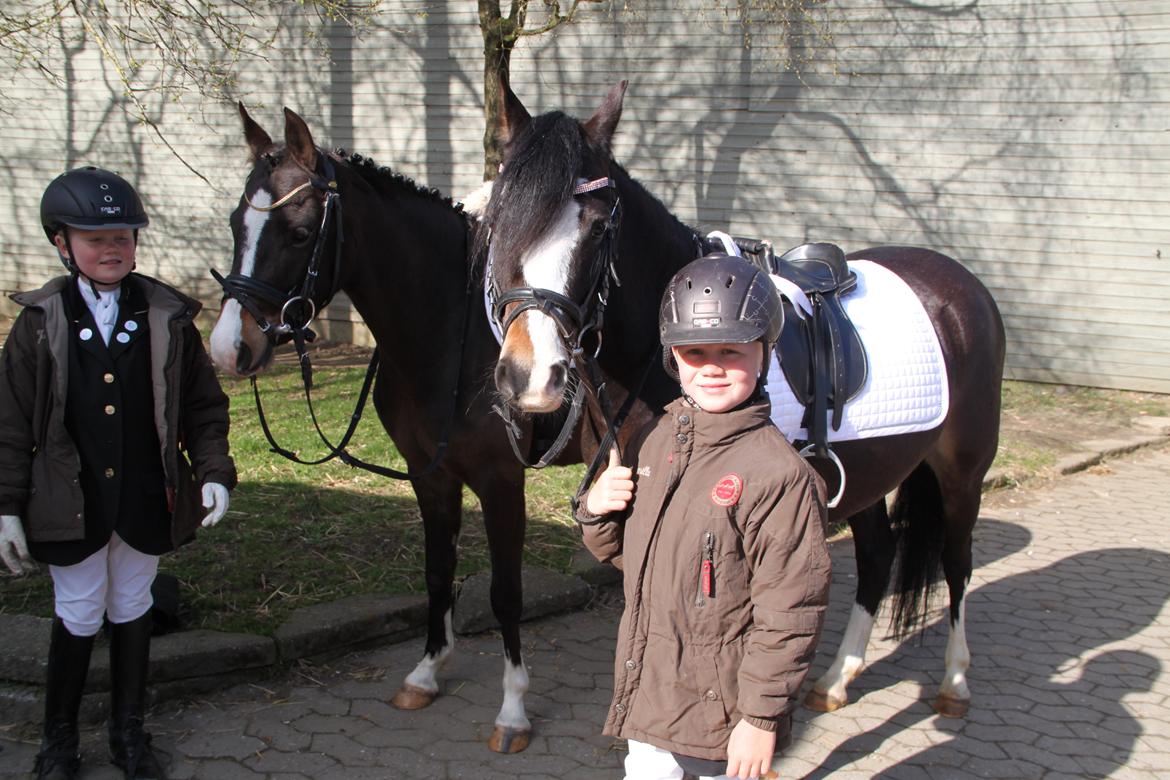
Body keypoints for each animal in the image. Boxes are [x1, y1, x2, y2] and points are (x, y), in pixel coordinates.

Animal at [208, 104, 547, 753]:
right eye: (238, 224)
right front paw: (426, 673)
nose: (230, 348)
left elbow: (507, 594)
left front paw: (514, 709)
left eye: (299, 233)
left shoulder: (500, 482)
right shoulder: (430, 476)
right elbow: (437, 575)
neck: (454, 335)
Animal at [478, 78, 1006, 718]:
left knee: (957, 562)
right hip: (871, 471)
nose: (530, 377)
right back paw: (838, 679)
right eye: (496, 220)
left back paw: (954, 681)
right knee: (879, 558)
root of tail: (962, 283)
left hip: (963, 472)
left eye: (599, 228)